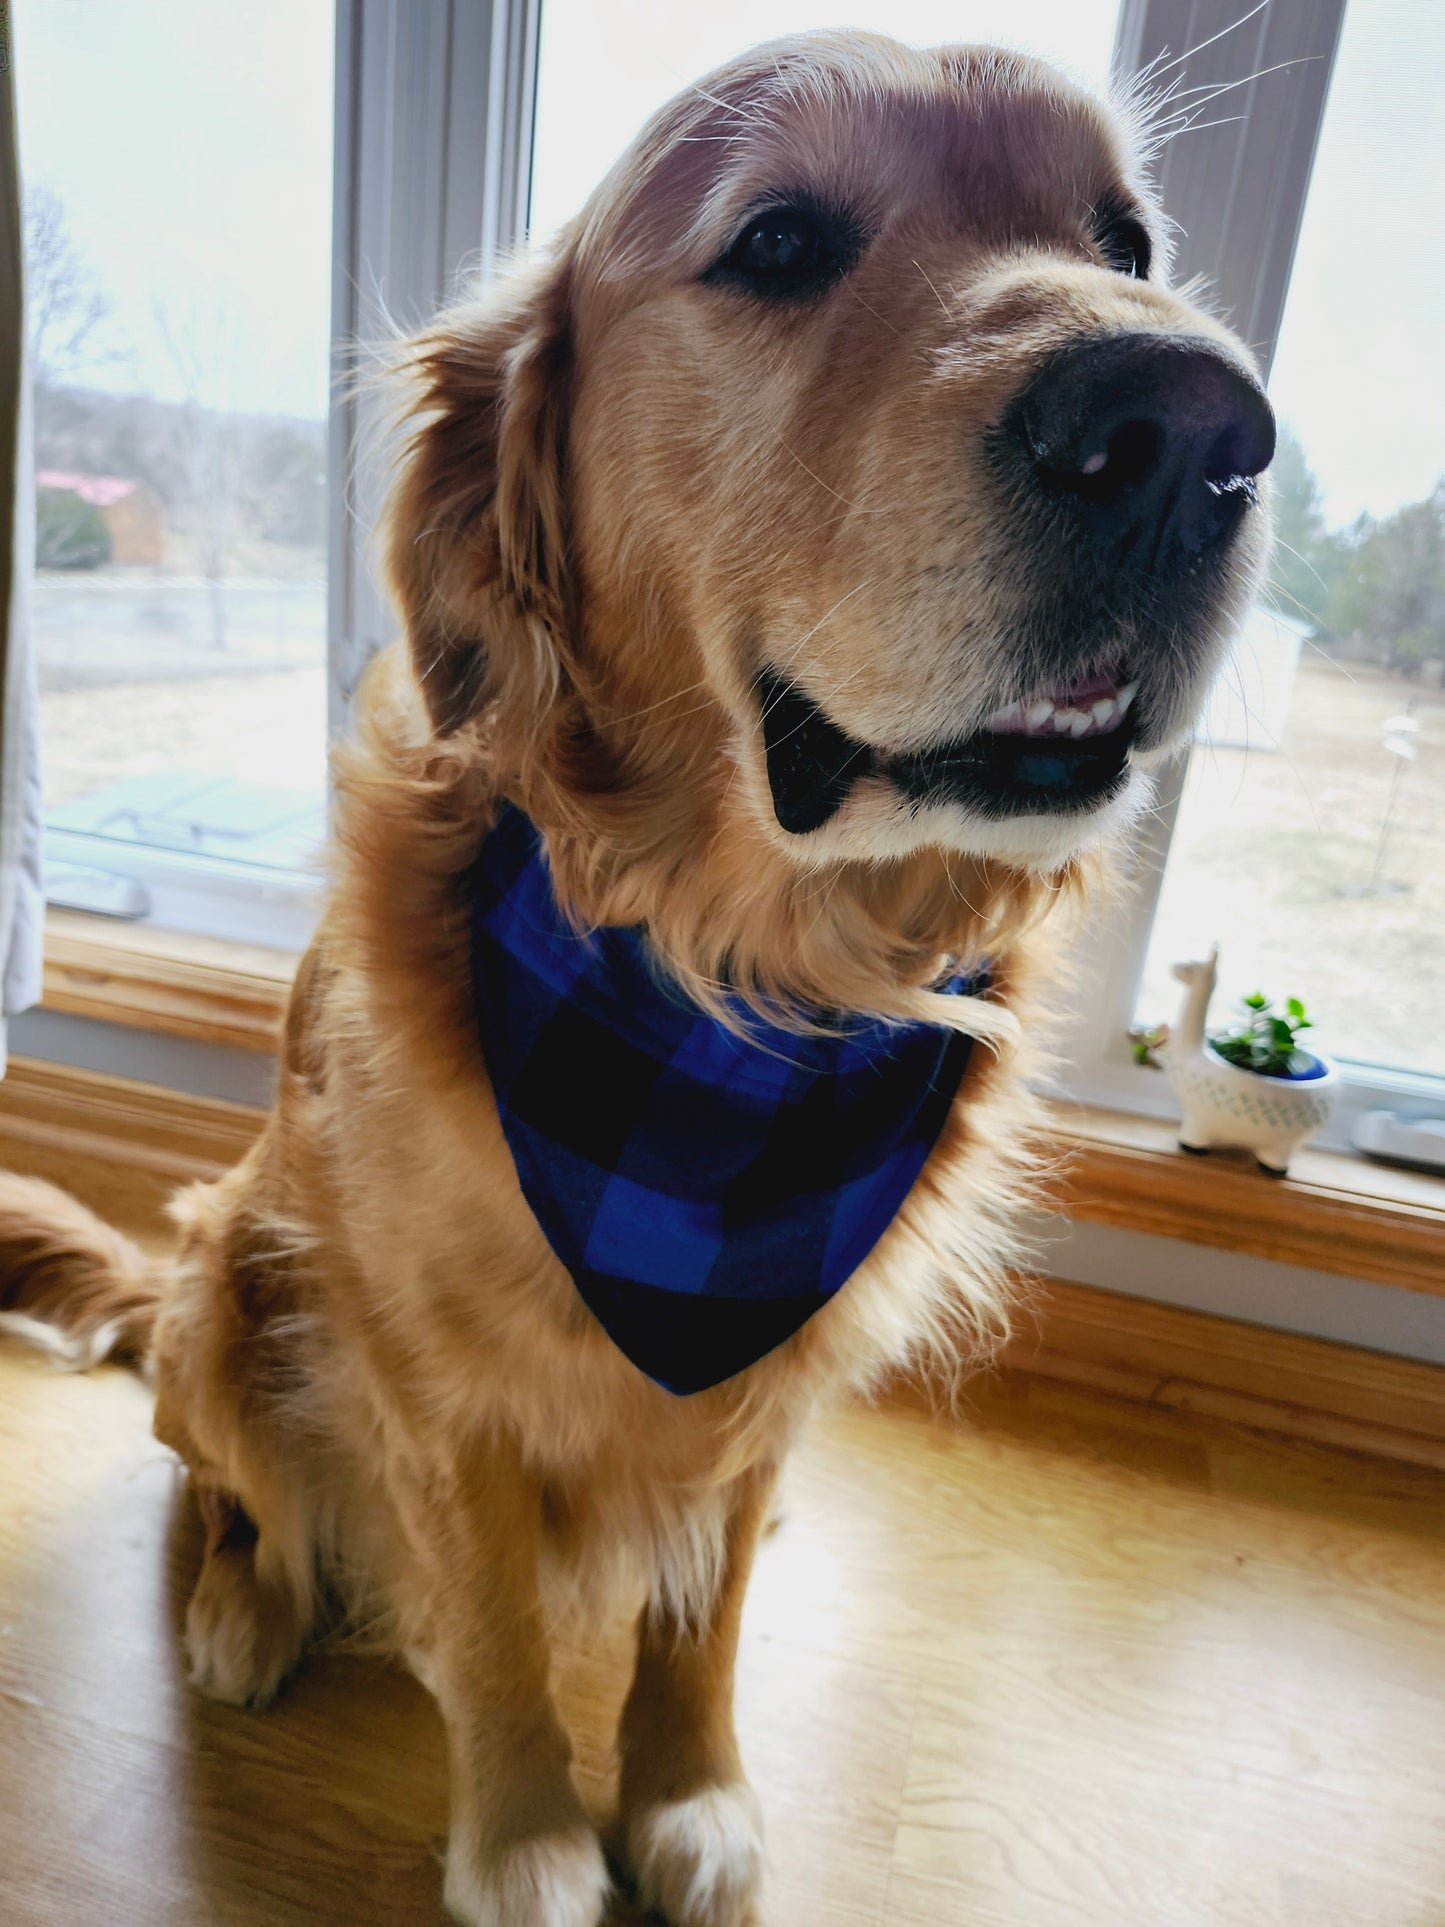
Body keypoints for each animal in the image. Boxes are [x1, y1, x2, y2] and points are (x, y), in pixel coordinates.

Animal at [0, 33, 1271, 1927]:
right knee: (225, 1489)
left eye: (1125, 237)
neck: (745, 984)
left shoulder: (764, 1376)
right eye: (778, 240)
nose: (1197, 430)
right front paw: (529, 1834)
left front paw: (689, 1795)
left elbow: (702, 1614)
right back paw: (248, 1605)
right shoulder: (440, 1386)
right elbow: (497, 1629)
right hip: (238, 1279)